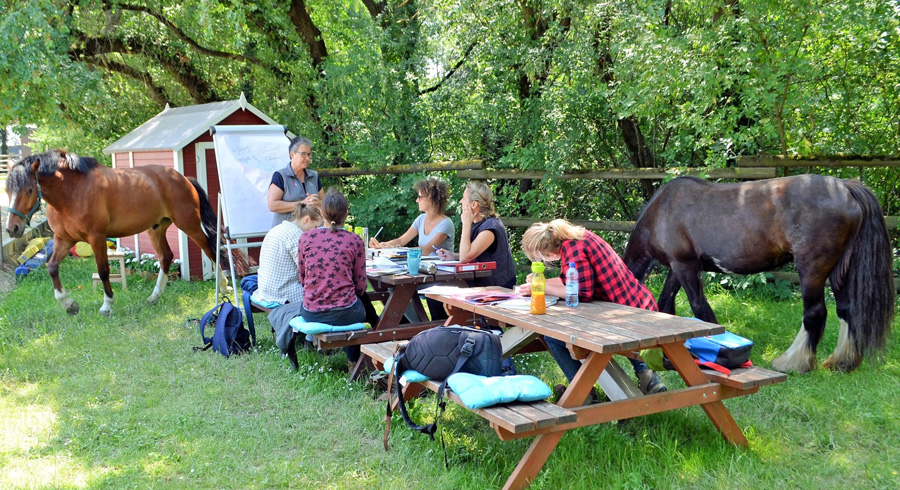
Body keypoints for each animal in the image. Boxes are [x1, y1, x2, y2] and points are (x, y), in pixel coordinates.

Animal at [6, 149, 229, 316]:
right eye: (8, 191)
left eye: (28, 190)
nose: (12, 228)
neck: (73, 192)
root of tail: (183, 178)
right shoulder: (64, 239)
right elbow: (52, 267)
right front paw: (69, 305)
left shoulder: (96, 237)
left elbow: (103, 270)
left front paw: (107, 305)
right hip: (156, 228)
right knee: (166, 257)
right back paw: (154, 297)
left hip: (189, 224)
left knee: (211, 250)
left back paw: (224, 287)